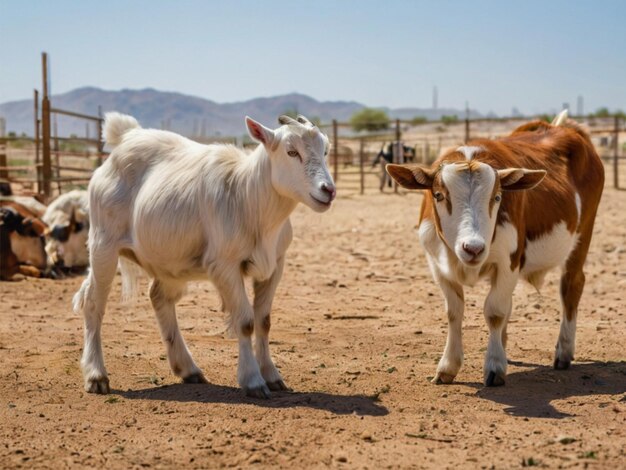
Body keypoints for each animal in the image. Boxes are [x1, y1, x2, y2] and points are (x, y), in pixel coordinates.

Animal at [72, 112, 336, 398]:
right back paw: (96, 376)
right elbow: (246, 322)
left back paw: (188, 369)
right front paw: (254, 380)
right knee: (93, 303)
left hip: (168, 259)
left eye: (325, 150)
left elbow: (263, 321)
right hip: (103, 243)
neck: (248, 198)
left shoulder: (275, 265)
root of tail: (124, 136)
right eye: (291, 151)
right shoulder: (225, 265)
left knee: (158, 297)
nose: (328, 190)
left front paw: (272, 375)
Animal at [388, 112, 604, 388]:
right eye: (438, 195)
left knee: (571, 286)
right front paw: (449, 365)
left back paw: (564, 351)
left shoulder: (508, 262)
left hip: (582, 235)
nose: (473, 248)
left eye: (497, 197)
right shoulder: (437, 265)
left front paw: (494, 365)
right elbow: (454, 311)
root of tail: (562, 128)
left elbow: (495, 312)